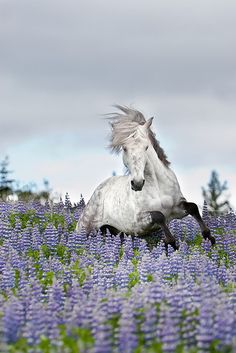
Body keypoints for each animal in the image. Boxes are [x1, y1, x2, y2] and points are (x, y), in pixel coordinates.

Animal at [76, 106, 215, 249]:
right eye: (124, 148)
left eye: (146, 147)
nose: (137, 183)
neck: (158, 187)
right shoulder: (138, 222)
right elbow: (159, 216)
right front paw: (171, 243)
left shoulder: (177, 209)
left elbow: (193, 207)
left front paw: (209, 238)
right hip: (88, 229)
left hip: (114, 231)